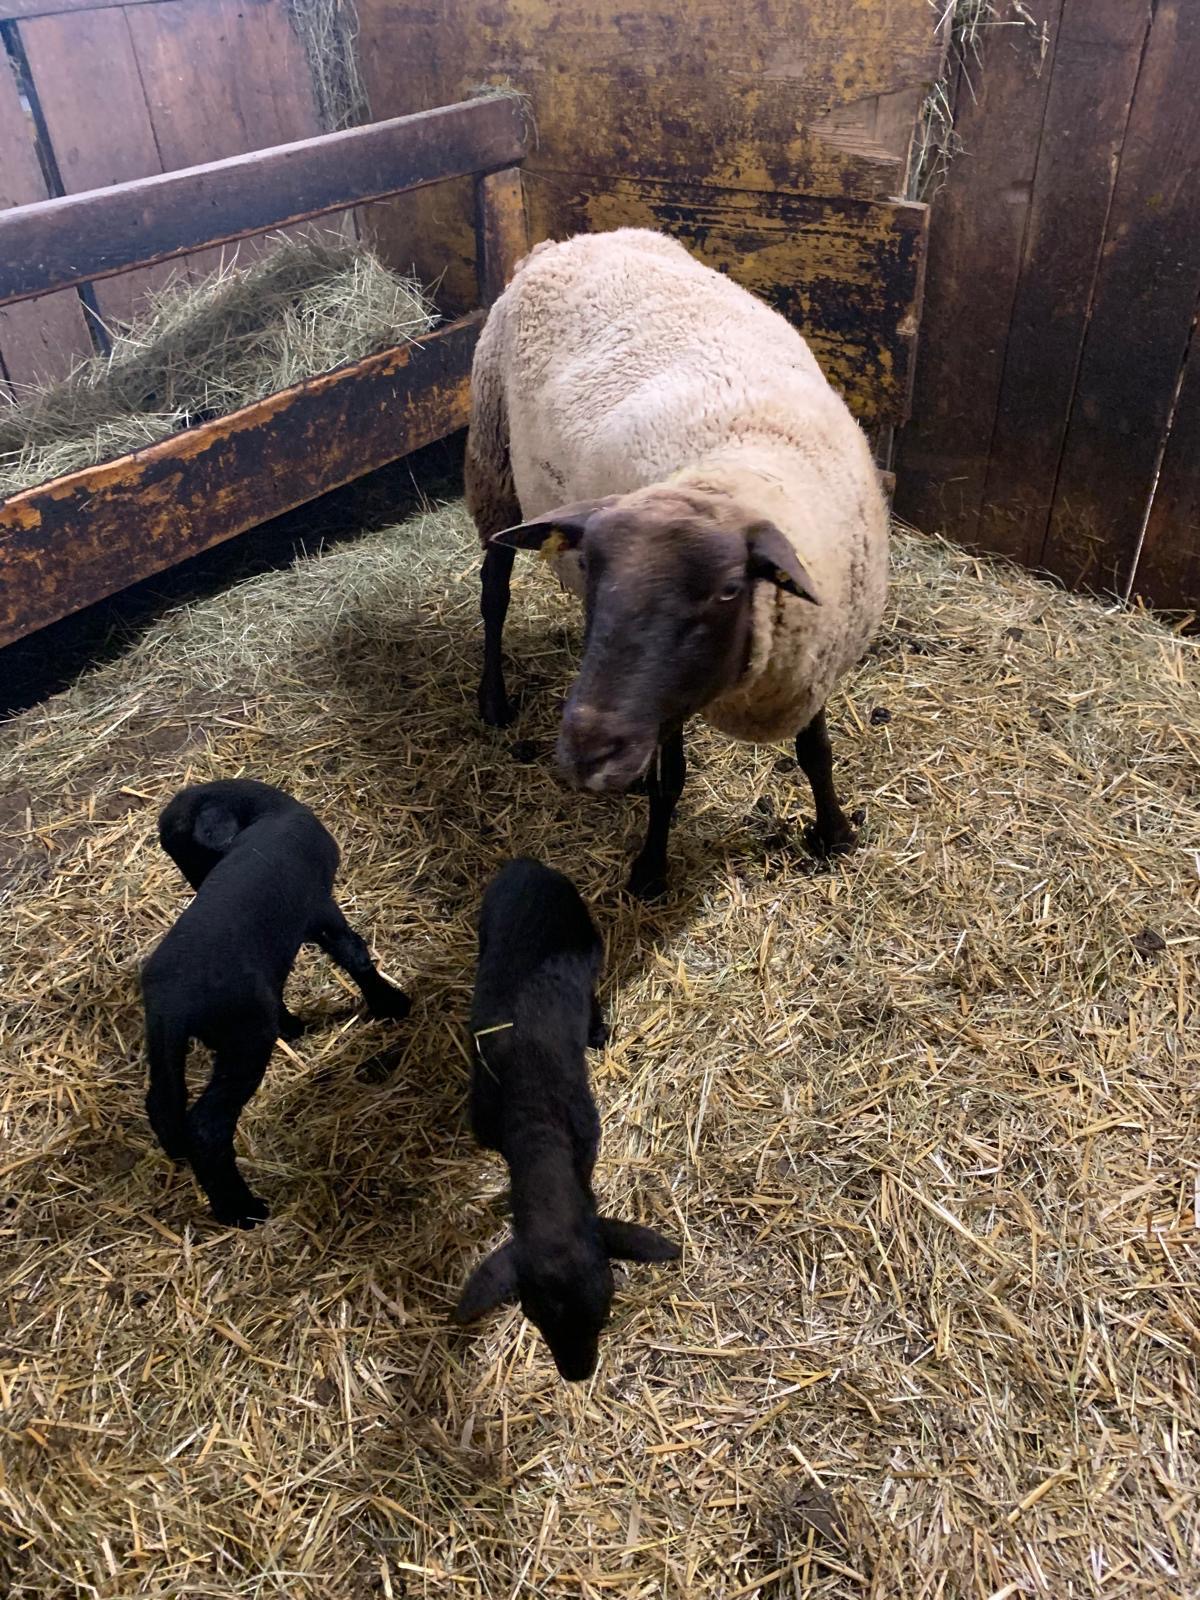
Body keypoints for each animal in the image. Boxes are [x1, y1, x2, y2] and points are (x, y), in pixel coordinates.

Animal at [142, 779, 410, 1228]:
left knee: (163, 1104)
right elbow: (351, 952)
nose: (202, 881)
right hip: (244, 1038)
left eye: (181, 852)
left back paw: (194, 1171)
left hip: (167, 1047)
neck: (264, 811)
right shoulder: (320, 906)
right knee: (208, 1126)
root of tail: (170, 1004)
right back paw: (242, 1211)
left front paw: (292, 1025)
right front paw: (390, 1003)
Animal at [454, 857, 679, 1382]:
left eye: (605, 1311)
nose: (577, 1374)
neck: (536, 1125)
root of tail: (528, 863)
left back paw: (596, 1029)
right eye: (533, 1315)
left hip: (587, 938)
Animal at [466, 227, 889, 898]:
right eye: (594, 574)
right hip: (494, 465)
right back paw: (495, 700)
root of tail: (563, 242)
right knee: (494, 595)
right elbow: (672, 779)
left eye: (728, 590)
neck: (729, 470)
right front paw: (650, 870)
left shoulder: (811, 653)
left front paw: (833, 833)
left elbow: (816, 753)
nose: (586, 753)